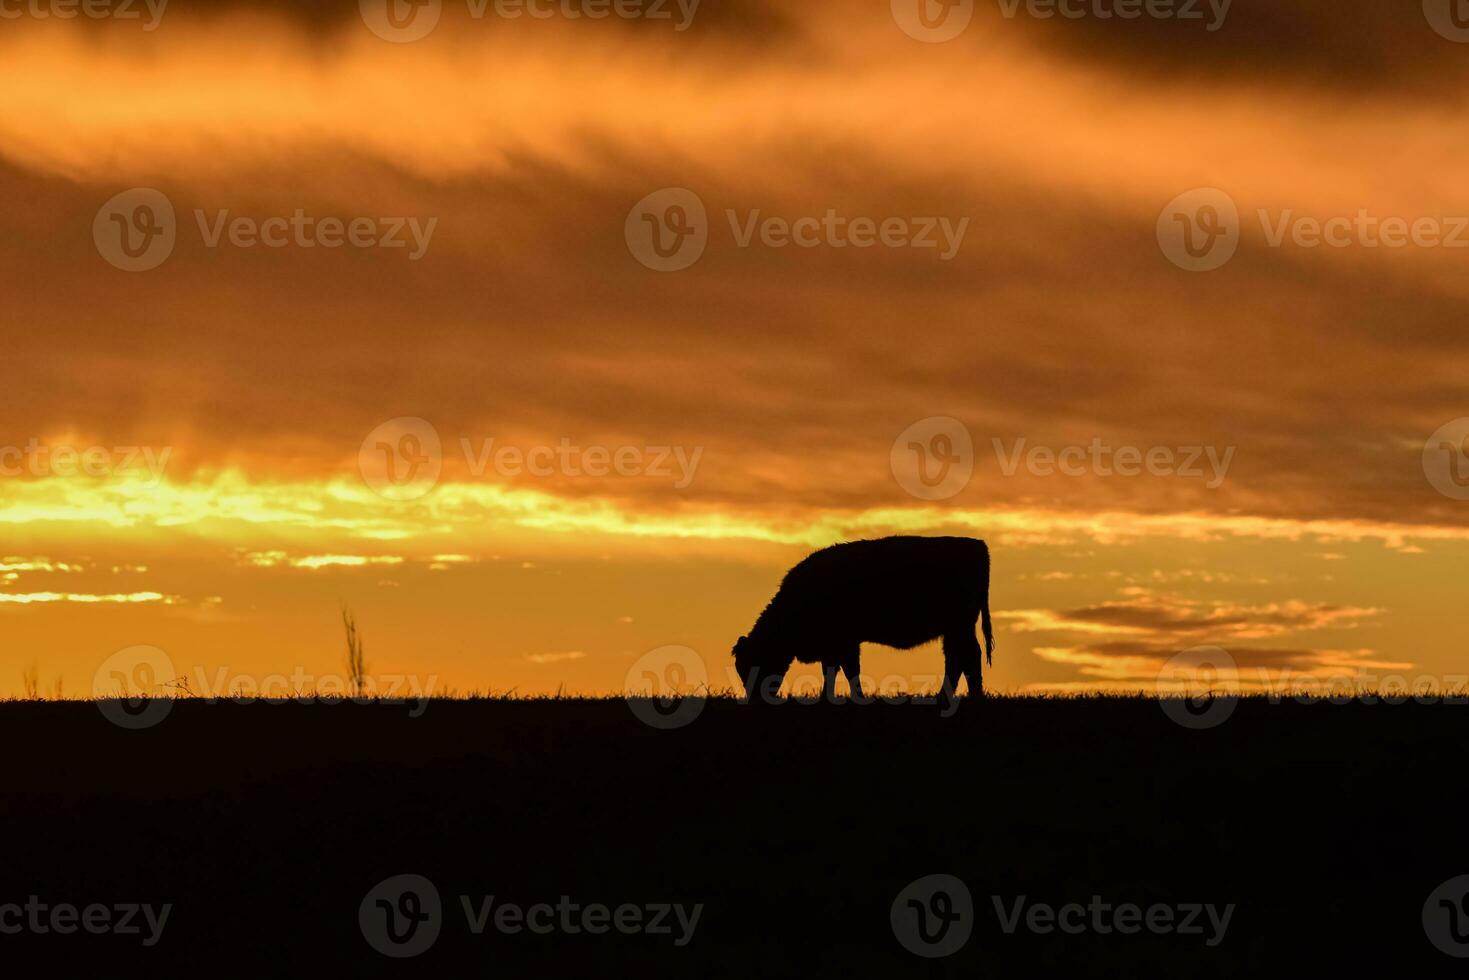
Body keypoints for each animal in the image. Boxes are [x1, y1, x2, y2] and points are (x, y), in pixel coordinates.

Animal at [728, 537, 993, 705]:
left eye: (753, 663)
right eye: (740, 668)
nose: (755, 699)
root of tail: (976, 545)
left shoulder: (842, 642)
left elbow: (846, 670)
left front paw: (849, 698)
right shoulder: (839, 644)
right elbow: (837, 670)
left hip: (959, 627)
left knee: (966, 657)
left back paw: (968, 697)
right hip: (954, 630)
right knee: (959, 659)